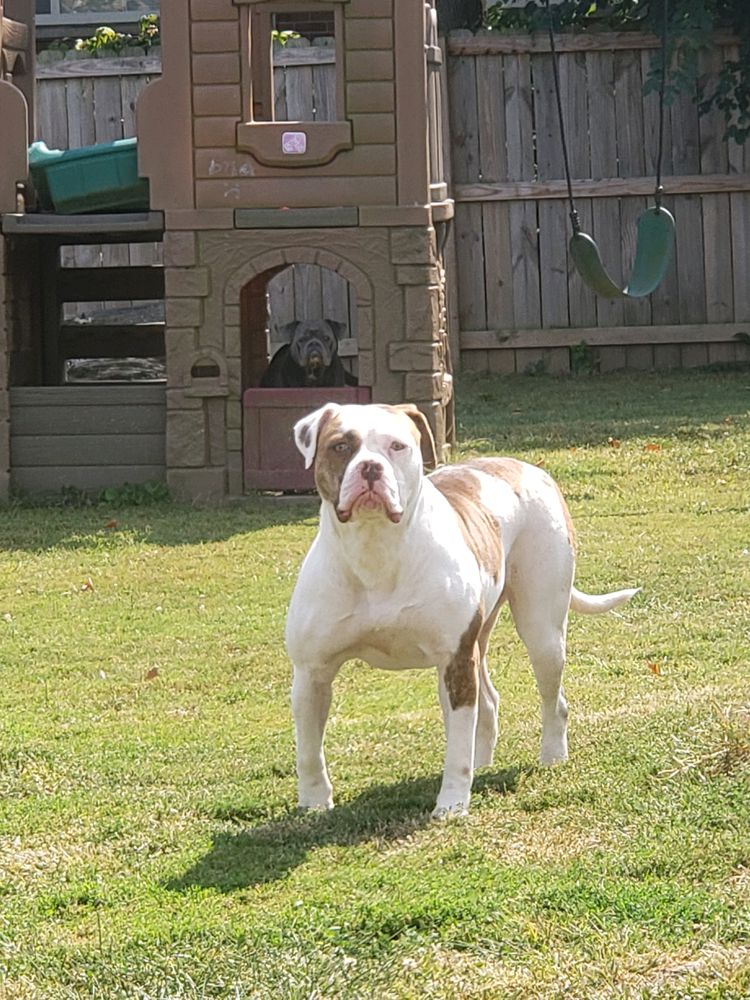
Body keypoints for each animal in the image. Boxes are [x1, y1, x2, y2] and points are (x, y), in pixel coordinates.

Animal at [288, 402, 640, 816]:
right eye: (341, 446)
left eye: (397, 446)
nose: (371, 467)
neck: (376, 549)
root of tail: (526, 466)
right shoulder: (312, 672)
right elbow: (308, 750)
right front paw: (314, 803)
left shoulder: (455, 659)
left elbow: (456, 746)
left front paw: (452, 804)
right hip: (477, 643)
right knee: (488, 702)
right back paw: (482, 764)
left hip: (541, 632)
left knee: (553, 699)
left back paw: (552, 756)